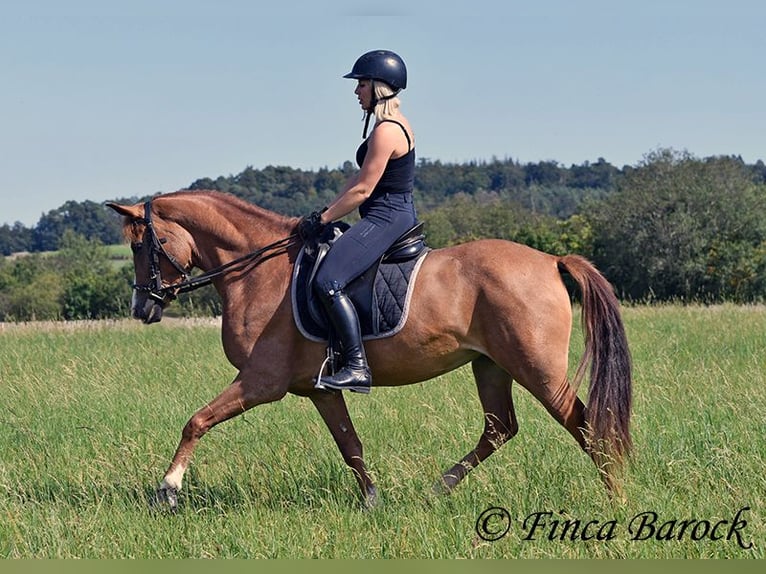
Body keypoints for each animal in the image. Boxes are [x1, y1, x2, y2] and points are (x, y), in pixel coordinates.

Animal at [109, 191, 636, 510]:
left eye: (140, 247)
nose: (142, 307)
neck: (258, 272)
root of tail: (551, 260)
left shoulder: (262, 382)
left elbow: (195, 420)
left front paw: (168, 489)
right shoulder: (318, 389)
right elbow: (351, 445)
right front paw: (372, 501)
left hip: (537, 370)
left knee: (586, 425)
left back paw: (616, 498)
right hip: (490, 366)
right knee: (500, 428)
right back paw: (437, 489)